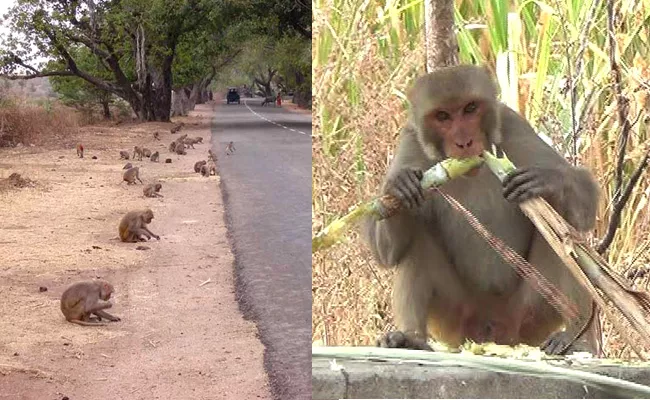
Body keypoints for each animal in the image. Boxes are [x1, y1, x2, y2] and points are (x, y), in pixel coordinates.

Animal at [362, 65, 600, 356]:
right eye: (443, 116)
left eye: (470, 108)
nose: (464, 142)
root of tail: (495, 332)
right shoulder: (410, 143)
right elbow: (385, 252)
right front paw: (399, 187)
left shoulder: (514, 127)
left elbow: (583, 200)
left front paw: (547, 180)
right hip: (457, 317)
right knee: (416, 242)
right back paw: (410, 338)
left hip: (531, 313)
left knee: (560, 234)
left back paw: (577, 338)